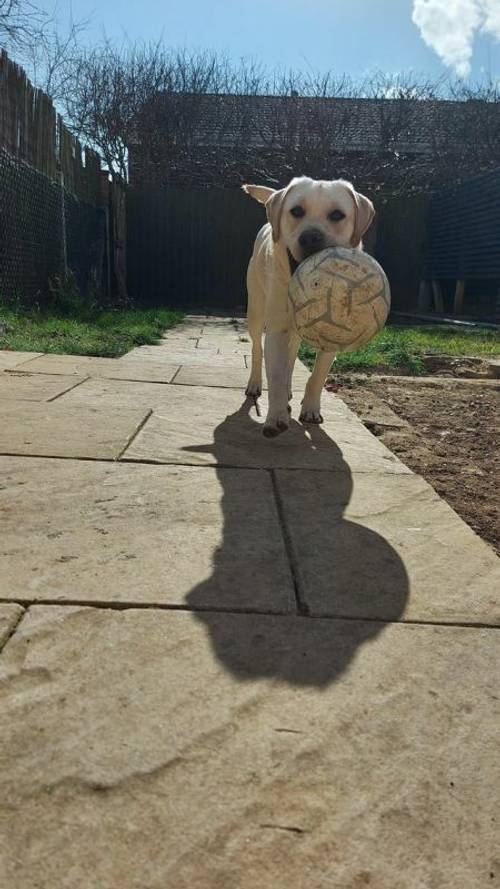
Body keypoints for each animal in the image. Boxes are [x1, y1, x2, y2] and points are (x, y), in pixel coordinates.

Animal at [244, 175, 374, 436]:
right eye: (296, 211)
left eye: (337, 215)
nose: (311, 237)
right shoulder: (276, 330)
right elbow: (275, 375)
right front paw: (275, 417)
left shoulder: (334, 335)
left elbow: (317, 377)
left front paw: (311, 409)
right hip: (255, 311)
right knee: (256, 349)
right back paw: (255, 384)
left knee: (291, 357)